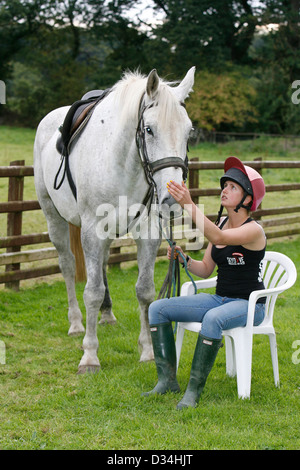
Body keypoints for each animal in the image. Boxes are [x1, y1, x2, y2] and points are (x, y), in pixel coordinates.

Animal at [34, 67, 196, 374]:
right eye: (149, 129)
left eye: (189, 132)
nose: (171, 199)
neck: (124, 163)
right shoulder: (92, 231)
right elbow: (92, 292)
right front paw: (89, 356)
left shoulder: (147, 232)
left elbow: (144, 291)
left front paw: (147, 350)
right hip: (53, 218)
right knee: (68, 266)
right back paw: (76, 323)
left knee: (104, 264)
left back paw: (107, 315)